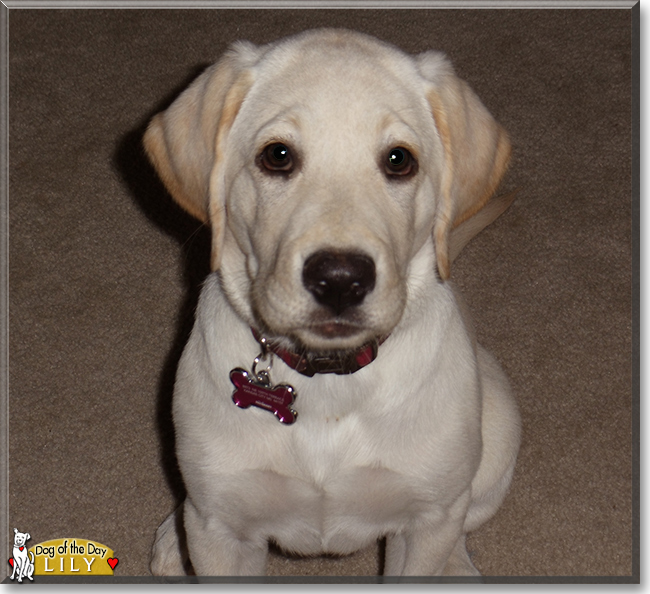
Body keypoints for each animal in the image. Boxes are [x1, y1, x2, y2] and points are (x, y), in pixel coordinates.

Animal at [144, 27, 520, 572]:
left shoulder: (424, 523)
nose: (341, 280)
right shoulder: (225, 535)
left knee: (463, 520)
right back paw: (175, 540)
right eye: (277, 156)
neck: (327, 382)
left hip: (493, 448)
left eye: (399, 159)